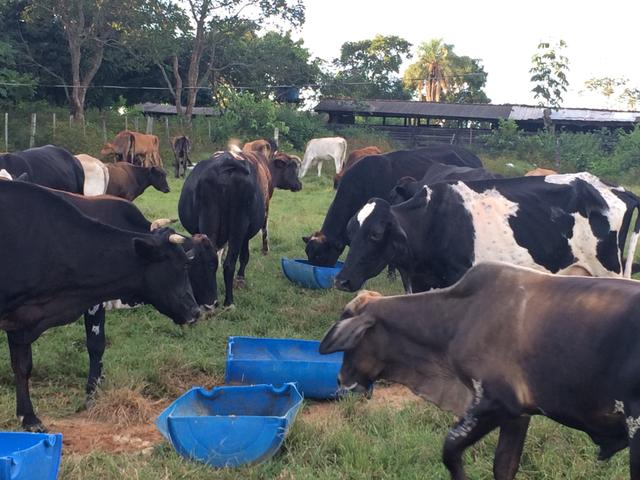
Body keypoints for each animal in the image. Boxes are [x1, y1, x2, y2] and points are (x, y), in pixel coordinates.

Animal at [320, 262, 640, 480]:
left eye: (352, 343)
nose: (340, 379)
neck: (459, 317)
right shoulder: (518, 415)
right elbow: (503, 466)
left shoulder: (494, 402)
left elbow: (450, 450)